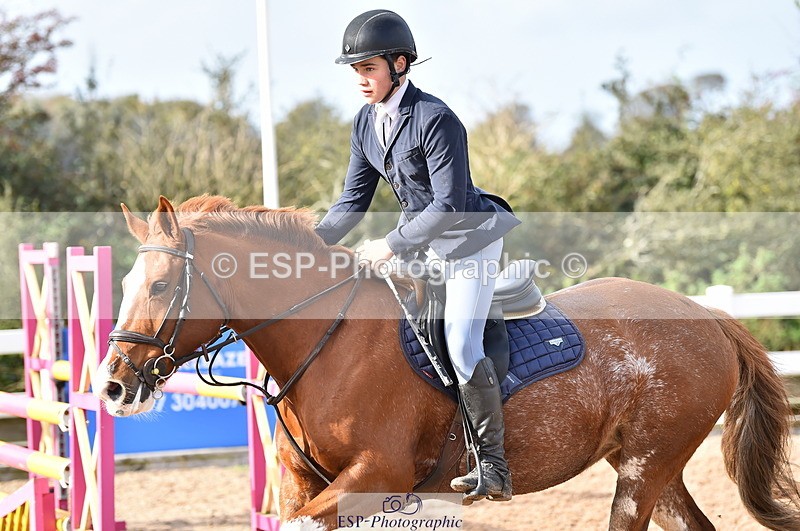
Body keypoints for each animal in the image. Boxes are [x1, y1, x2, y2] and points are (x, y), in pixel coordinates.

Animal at [92, 195, 800, 531]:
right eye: (124, 283)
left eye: (161, 287)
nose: (114, 387)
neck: (326, 340)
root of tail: (706, 314)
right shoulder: (306, 485)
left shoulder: (375, 474)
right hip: (653, 466)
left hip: (644, 470)